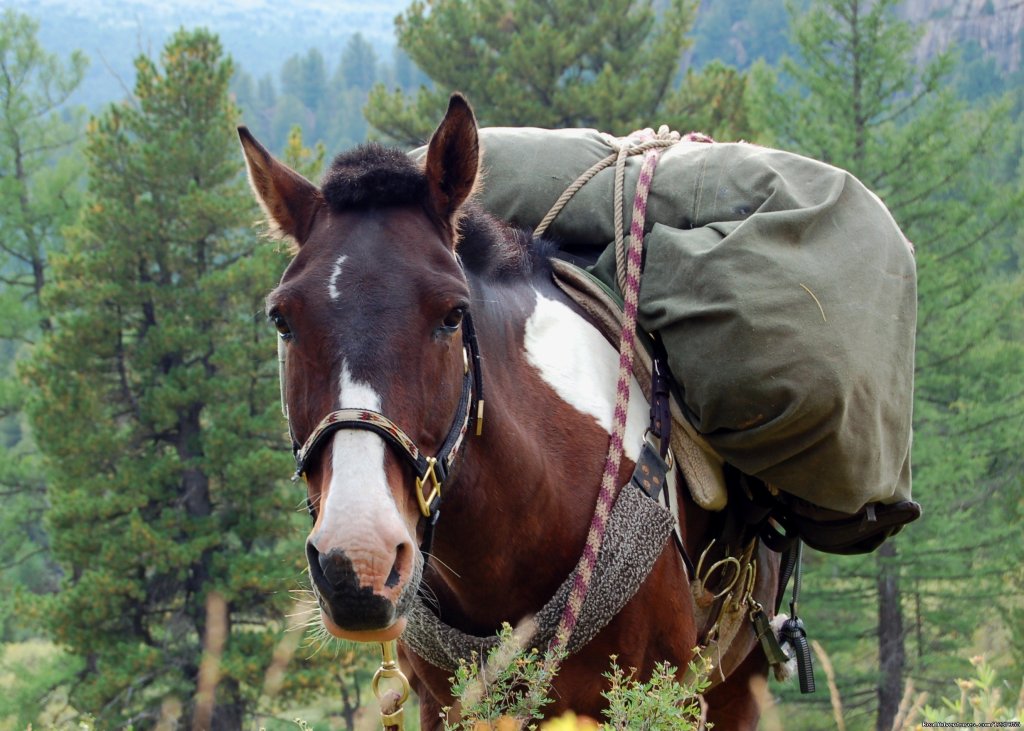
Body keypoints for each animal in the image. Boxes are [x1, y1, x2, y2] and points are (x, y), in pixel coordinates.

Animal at [239, 94, 782, 724]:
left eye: (453, 314)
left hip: (736, 687)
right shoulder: (443, 705)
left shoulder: (654, 698)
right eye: (283, 319)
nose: (360, 562)